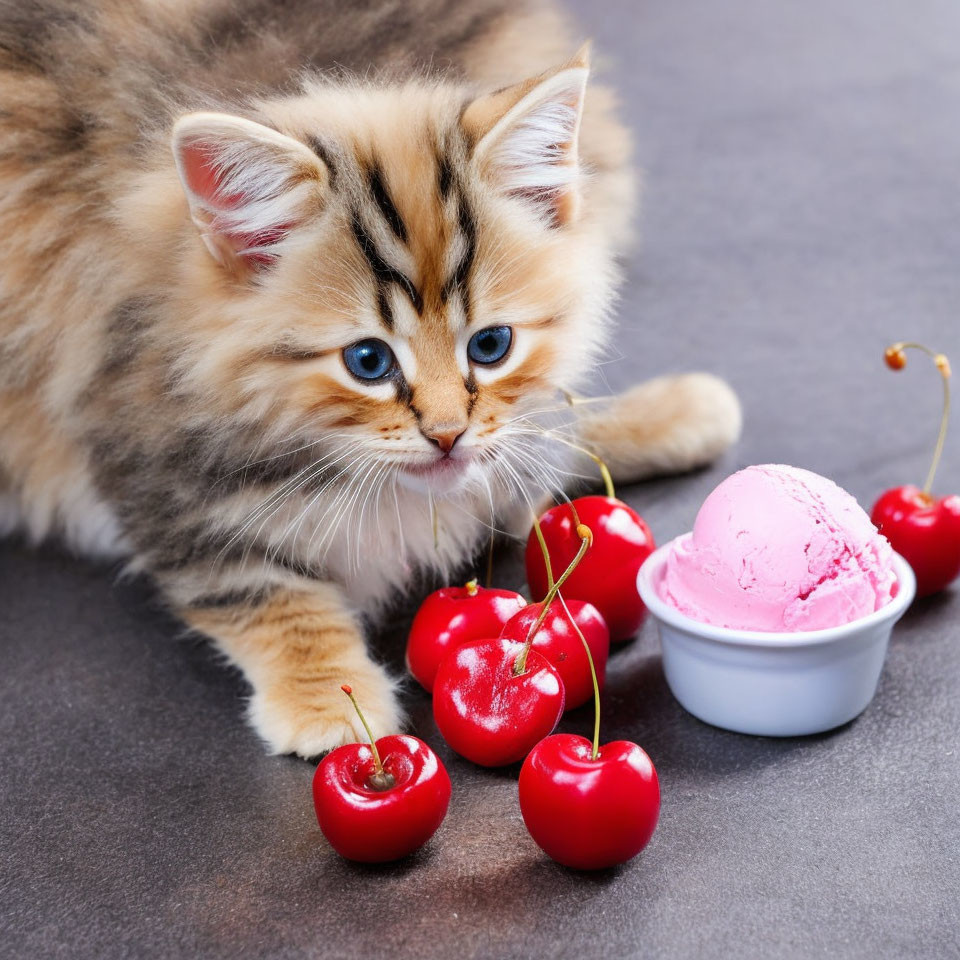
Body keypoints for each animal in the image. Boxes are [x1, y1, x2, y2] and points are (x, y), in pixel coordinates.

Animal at [0, 0, 744, 756]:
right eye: (368, 362)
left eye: (491, 345)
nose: (446, 435)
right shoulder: (146, 459)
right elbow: (259, 587)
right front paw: (327, 693)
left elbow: (541, 430)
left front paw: (675, 411)